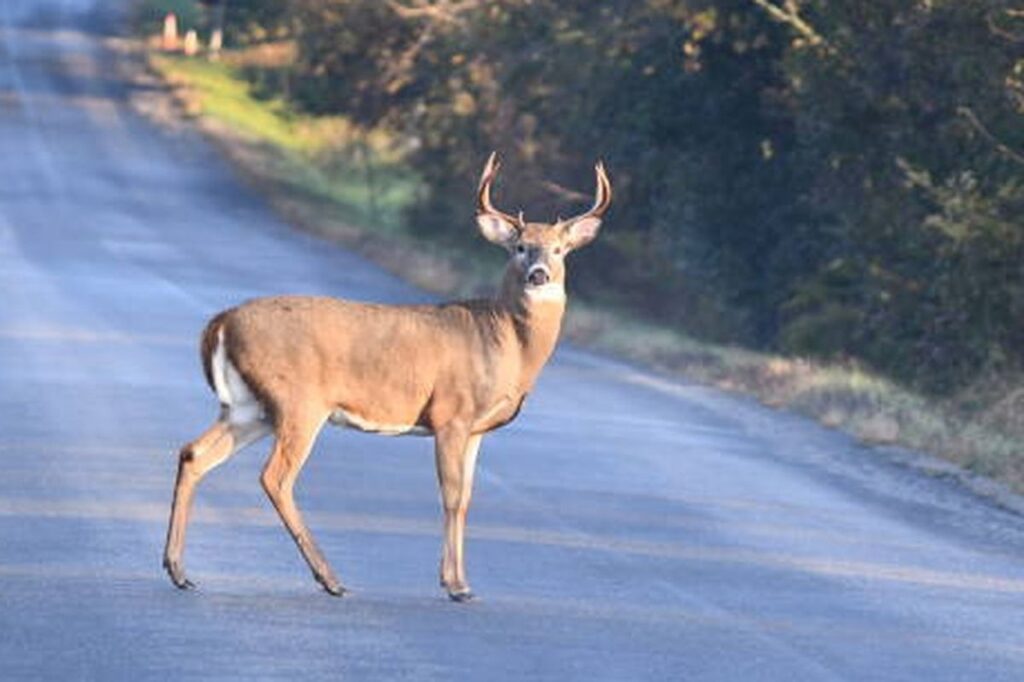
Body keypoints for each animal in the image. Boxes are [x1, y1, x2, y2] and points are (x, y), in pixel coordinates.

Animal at [162, 153, 612, 602]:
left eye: (559, 250)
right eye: (519, 247)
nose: (539, 274)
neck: (506, 341)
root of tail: (222, 321)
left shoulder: (476, 429)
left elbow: (466, 499)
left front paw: (459, 581)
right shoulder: (451, 413)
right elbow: (451, 496)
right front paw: (455, 586)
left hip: (249, 408)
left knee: (194, 453)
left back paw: (179, 570)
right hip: (298, 402)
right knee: (275, 477)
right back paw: (330, 578)